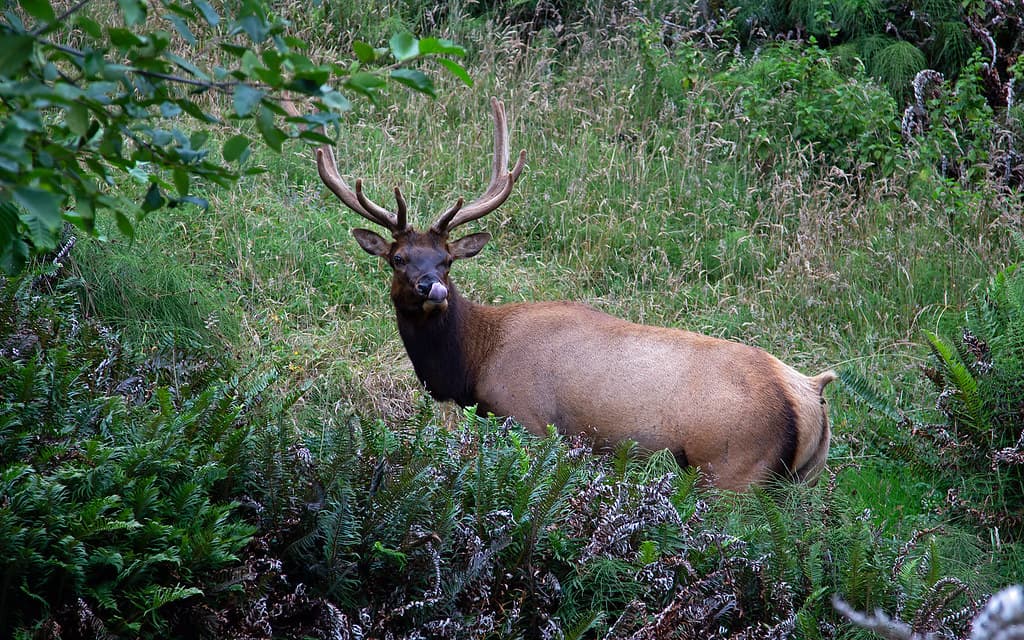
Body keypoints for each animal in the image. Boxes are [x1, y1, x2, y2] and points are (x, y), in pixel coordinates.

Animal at [294, 97, 836, 491]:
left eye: (447, 259)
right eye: (399, 258)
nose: (434, 287)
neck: (473, 363)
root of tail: (809, 394)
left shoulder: (527, 416)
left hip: (730, 466)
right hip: (795, 483)